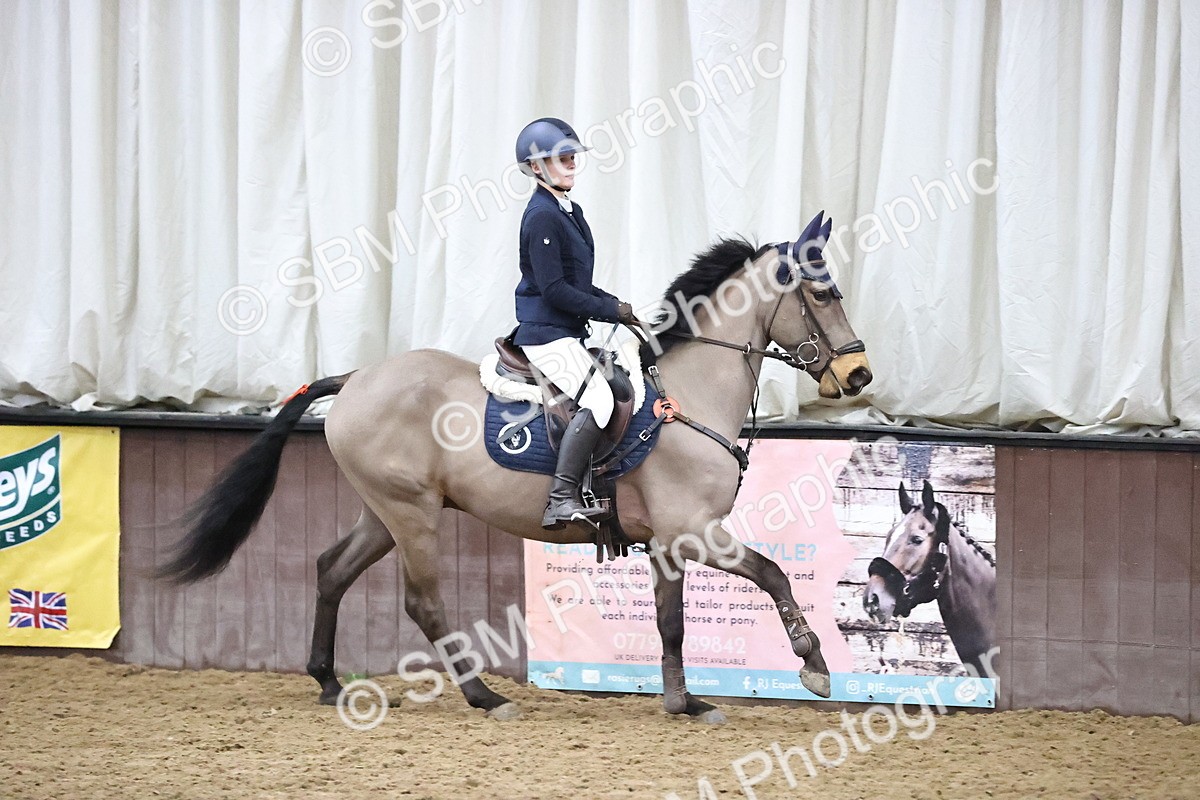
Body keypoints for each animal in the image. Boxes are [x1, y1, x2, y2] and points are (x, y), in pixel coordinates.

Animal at [160, 211, 873, 722]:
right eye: (823, 293)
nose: (859, 374)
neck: (688, 398)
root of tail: (357, 377)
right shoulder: (693, 530)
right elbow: (774, 575)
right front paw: (814, 666)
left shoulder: (668, 543)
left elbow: (671, 621)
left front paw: (684, 702)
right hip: (411, 515)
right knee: (423, 601)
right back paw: (484, 697)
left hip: (383, 509)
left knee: (331, 569)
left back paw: (329, 680)